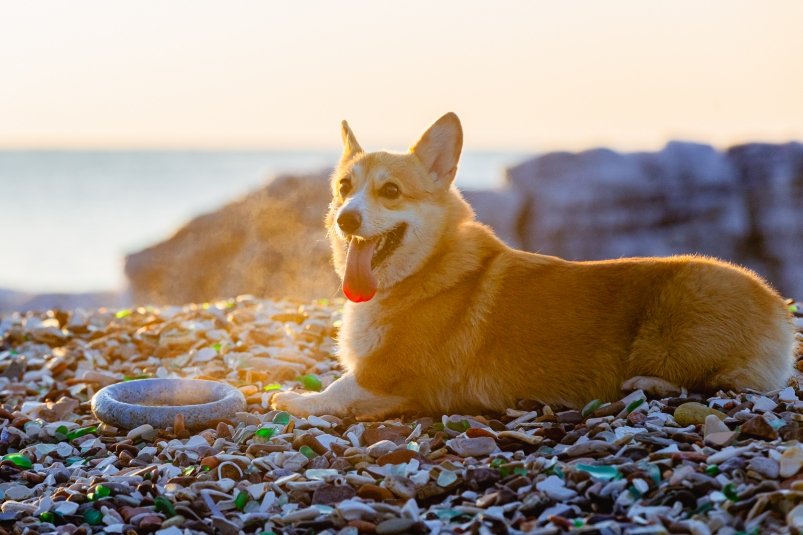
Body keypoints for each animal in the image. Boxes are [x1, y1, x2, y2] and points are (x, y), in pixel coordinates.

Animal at [272, 113, 796, 420]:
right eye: (344, 187)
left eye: (391, 191)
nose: (346, 218)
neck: (424, 269)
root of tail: (777, 305)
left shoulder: (384, 372)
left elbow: (339, 388)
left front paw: (295, 399)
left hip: (680, 315)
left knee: (714, 382)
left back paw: (645, 383)